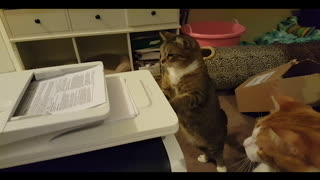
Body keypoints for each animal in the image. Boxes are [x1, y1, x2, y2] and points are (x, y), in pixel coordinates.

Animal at [159, 31, 229, 172]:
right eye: (161, 53)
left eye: (170, 54)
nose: (161, 61)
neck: (178, 71)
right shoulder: (168, 89)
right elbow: (165, 94)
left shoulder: (196, 95)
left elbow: (180, 100)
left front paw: (171, 104)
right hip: (195, 142)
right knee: (207, 152)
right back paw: (204, 158)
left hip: (215, 141)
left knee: (218, 153)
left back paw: (221, 167)